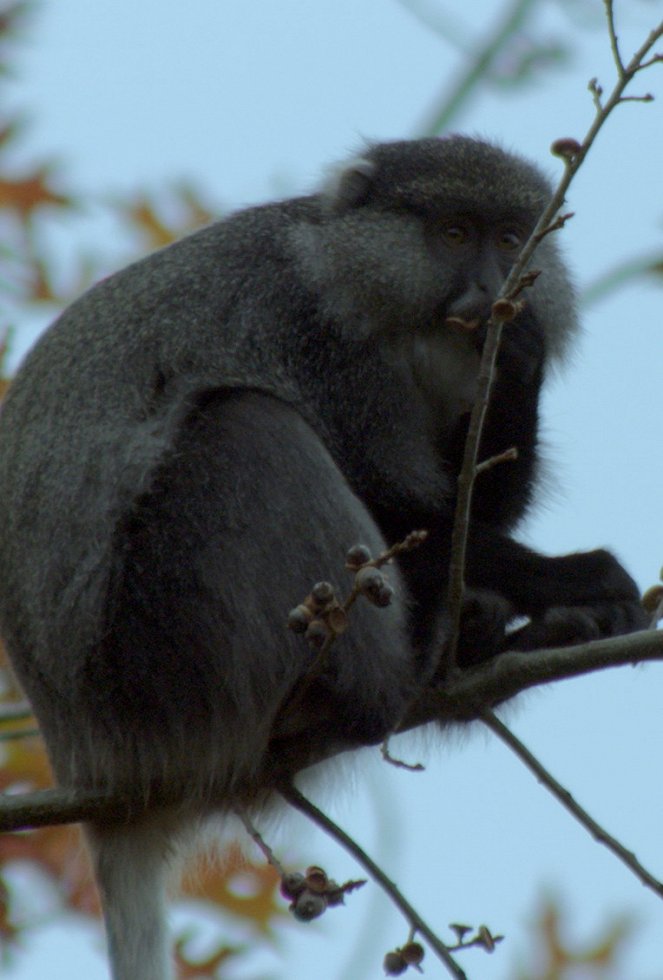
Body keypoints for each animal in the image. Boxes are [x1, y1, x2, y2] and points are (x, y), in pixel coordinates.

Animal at [0, 138, 644, 980]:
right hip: (159, 656)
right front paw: (579, 574)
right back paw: (394, 686)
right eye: (452, 232)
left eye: (509, 239)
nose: (489, 291)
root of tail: (92, 763)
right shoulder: (313, 342)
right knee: (244, 425)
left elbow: (466, 508)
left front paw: (519, 359)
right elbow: (406, 517)